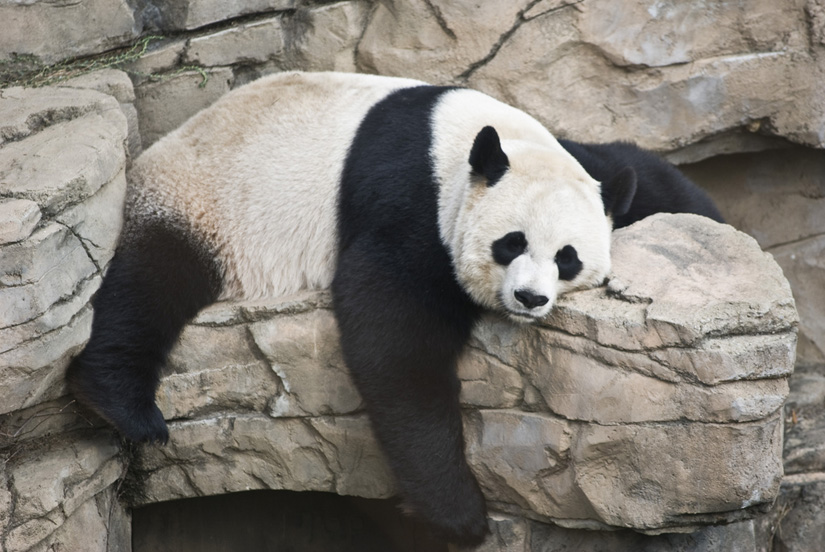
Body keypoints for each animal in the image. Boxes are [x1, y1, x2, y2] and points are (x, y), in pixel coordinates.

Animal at [69, 71, 636, 544]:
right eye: (511, 243)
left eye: (566, 258)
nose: (530, 298)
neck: (464, 144)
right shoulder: (411, 201)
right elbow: (394, 338)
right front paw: (460, 516)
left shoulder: (578, 163)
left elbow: (629, 171)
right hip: (198, 204)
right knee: (149, 288)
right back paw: (126, 406)